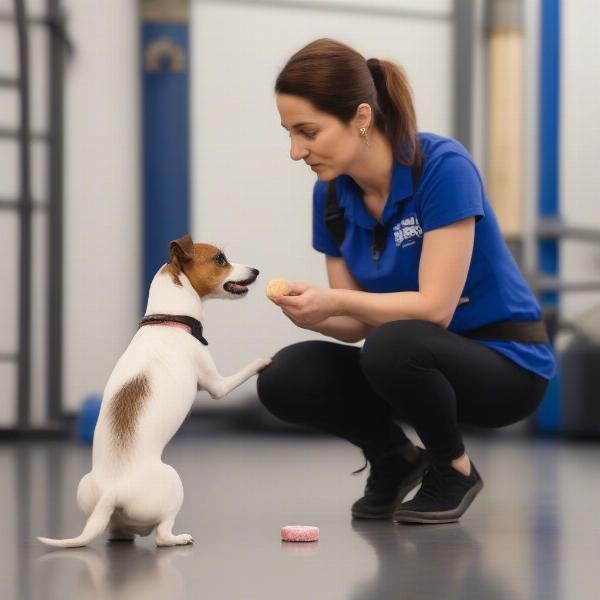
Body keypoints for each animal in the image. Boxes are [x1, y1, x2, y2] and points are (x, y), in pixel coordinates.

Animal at [38, 234, 272, 548]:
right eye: (220, 260)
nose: (256, 271)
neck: (169, 319)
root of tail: (113, 490)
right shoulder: (217, 386)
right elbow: (245, 370)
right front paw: (265, 360)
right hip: (173, 483)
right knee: (161, 535)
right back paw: (180, 538)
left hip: (91, 495)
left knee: (117, 531)